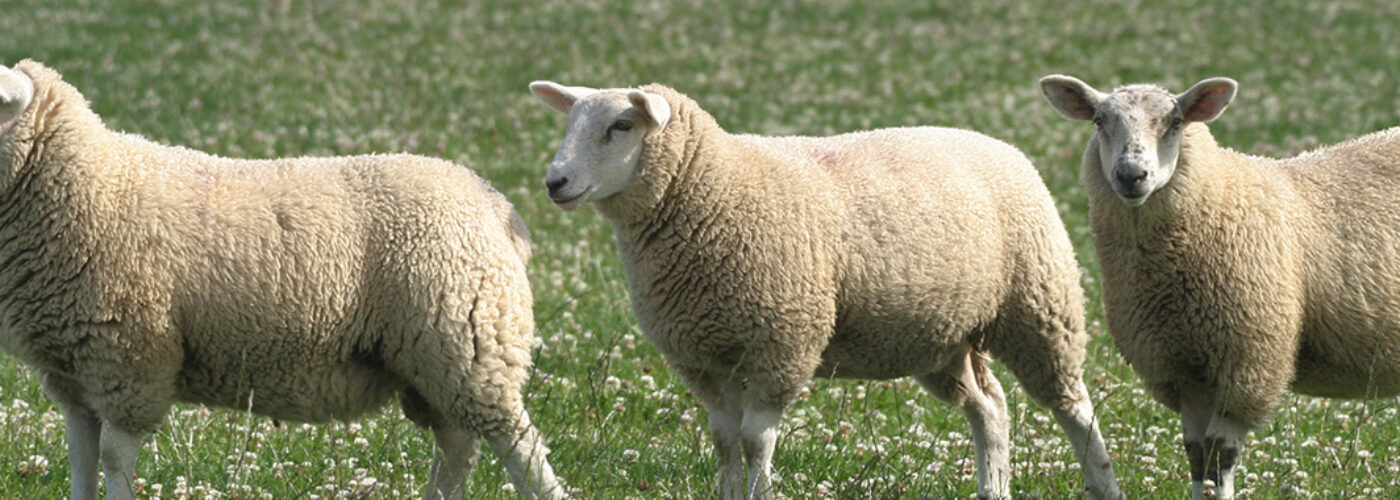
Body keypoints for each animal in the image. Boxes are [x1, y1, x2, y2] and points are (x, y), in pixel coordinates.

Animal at [0, 60, 566, 500]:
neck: (91, 183)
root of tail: (493, 201)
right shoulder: (73, 373)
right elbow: (80, 459)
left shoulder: (130, 361)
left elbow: (114, 460)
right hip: (431, 361)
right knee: (455, 447)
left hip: (470, 342)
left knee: (519, 446)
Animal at [529, 81, 1122, 500]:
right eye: (573, 122)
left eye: (621, 124)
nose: (554, 182)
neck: (714, 192)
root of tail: (996, 144)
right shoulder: (704, 356)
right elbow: (723, 440)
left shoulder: (782, 343)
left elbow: (755, 440)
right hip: (938, 336)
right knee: (989, 406)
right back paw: (992, 487)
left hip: (1038, 304)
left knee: (1074, 407)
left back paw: (1102, 482)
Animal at [1040, 74, 1400, 499]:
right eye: (1098, 121)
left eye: (1176, 122)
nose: (1131, 175)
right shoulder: (1187, 373)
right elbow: (1198, 459)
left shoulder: (1244, 367)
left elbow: (1218, 458)